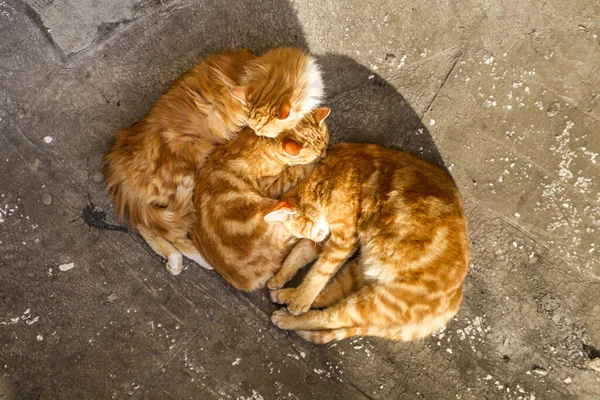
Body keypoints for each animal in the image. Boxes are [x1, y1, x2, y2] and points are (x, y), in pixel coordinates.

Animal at [105, 47, 326, 276]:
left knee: (149, 227)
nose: (255, 133)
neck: (253, 70)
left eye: (261, 129)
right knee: (169, 231)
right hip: (179, 183)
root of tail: (115, 161)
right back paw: (196, 259)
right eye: (255, 129)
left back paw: (175, 259)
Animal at [191, 108, 330, 292]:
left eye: (325, 144)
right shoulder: (271, 187)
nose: (325, 154)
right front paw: (310, 165)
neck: (266, 142)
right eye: (317, 153)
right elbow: (295, 173)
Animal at [264, 144, 472, 344]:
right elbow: (297, 256)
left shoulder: (343, 240)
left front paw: (301, 299)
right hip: (357, 272)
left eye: (304, 230)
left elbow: (317, 274)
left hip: (375, 302)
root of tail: (457, 297)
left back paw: (289, 315)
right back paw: (286, 294)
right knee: (330, 295)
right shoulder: (329, 240)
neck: (323, 178)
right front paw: (279, 278)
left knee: (331, 317)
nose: (318, 237)